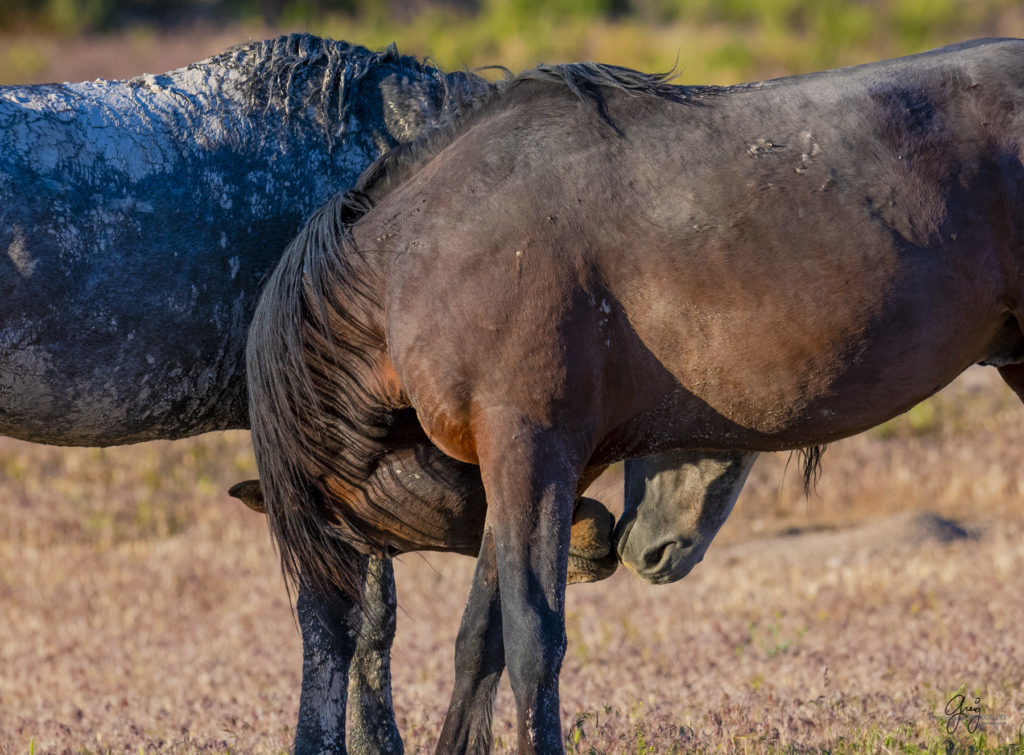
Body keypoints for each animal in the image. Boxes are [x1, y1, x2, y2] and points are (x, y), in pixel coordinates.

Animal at [249, 39, 1024, 749]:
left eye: (375, 539)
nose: (599, 541)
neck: (420, 256)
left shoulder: (529, 452)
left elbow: (532, 641)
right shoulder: (517, 463)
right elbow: (479, 641)